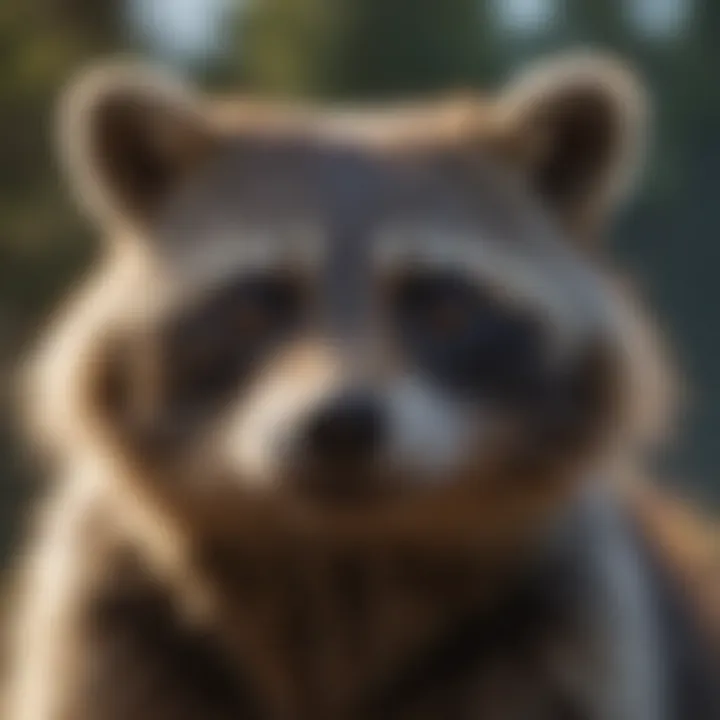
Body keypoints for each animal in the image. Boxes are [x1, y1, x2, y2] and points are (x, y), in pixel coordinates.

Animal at [4, 53, 718, 719]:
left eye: (444, 307)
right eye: (254, 305)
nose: (341, 425)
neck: (341, 558)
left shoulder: (558, 639)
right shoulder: (112, 633)